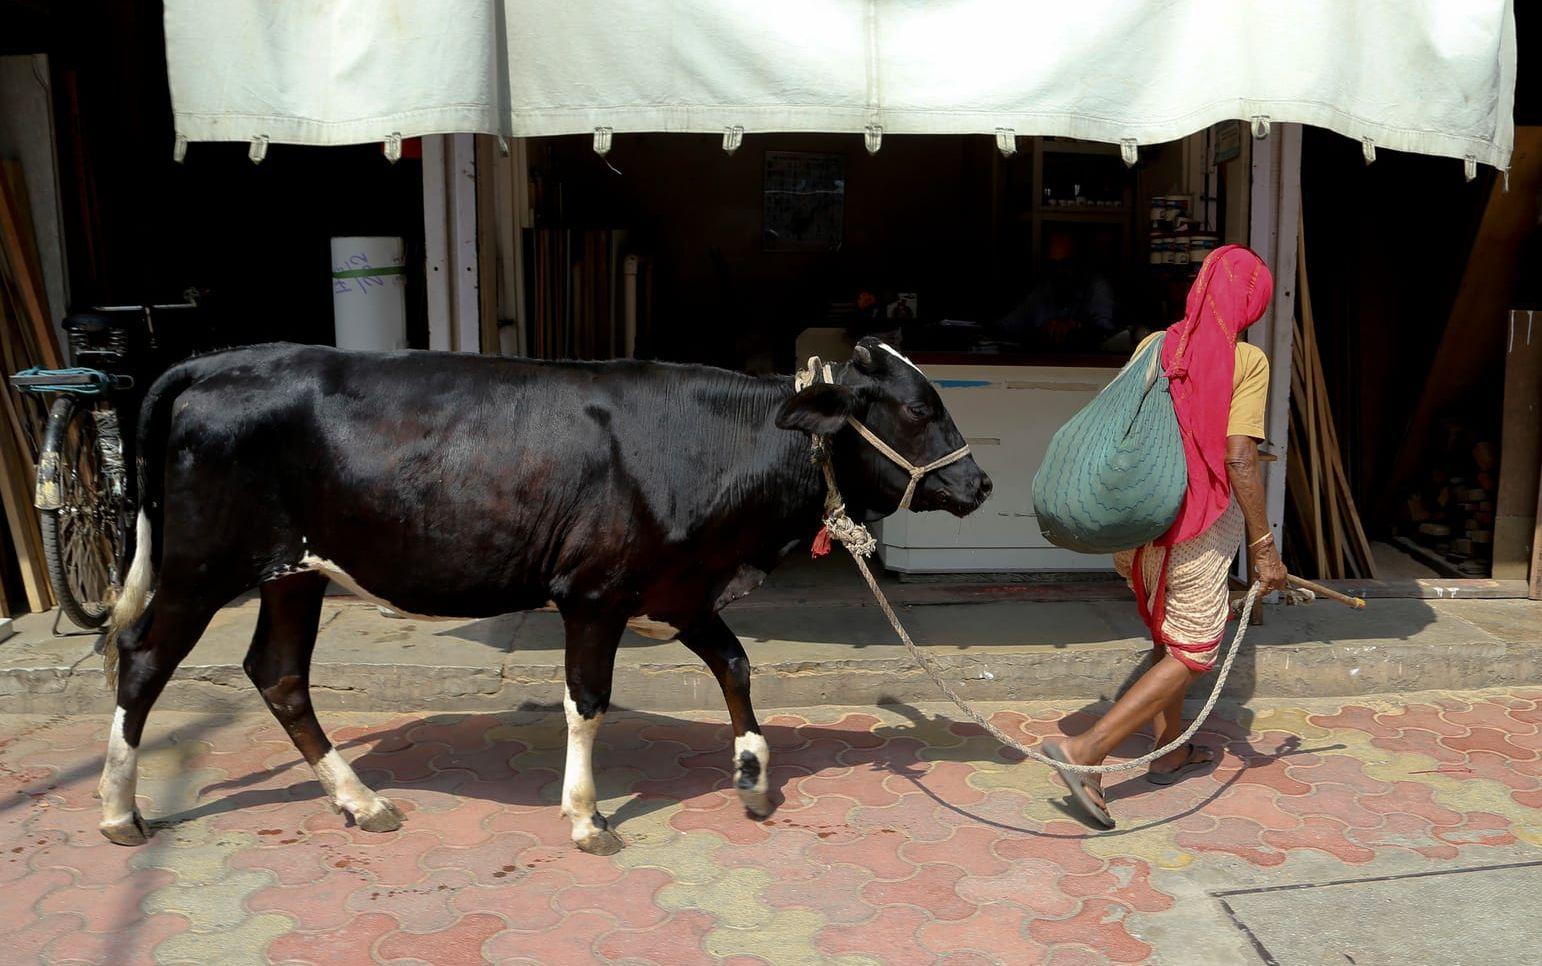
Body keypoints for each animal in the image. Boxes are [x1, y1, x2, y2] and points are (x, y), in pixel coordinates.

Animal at [99, 337, 986, 851]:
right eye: (919, 408)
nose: (979, 483)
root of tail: (219, 361)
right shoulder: (594, 591)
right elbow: (586, 701)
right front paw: (587, 815)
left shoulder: (676, 588)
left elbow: (735, 664)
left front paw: (754, 776)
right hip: (202, 563)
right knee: (141, 658)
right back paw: (118, 811)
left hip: (296, 571)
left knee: (279, 674)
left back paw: (363, 801)